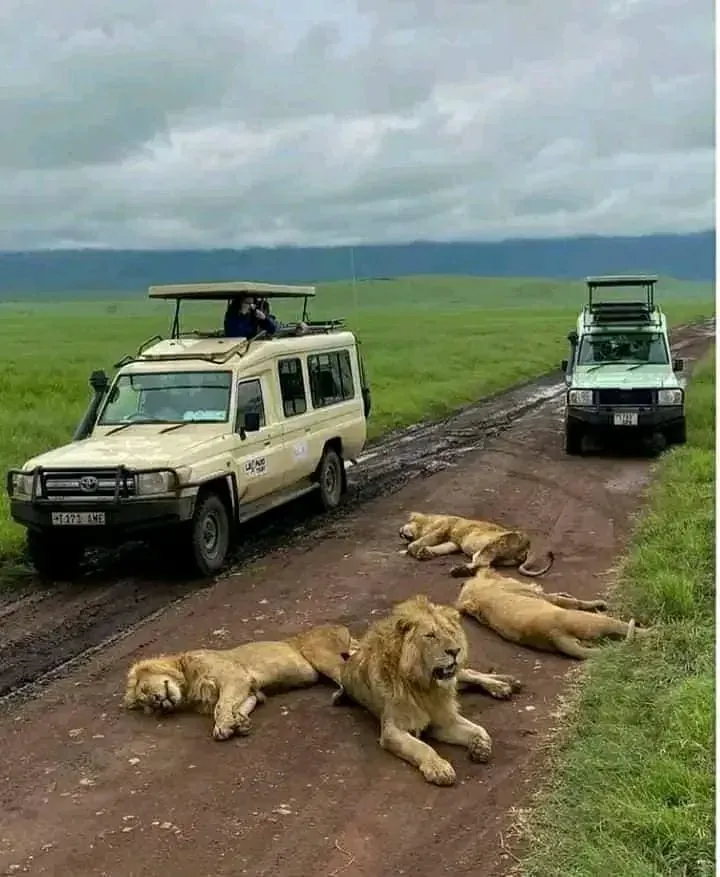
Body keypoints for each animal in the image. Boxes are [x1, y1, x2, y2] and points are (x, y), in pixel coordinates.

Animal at [123, 624, 359, 740]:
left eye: (145, 689)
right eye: (148, 705)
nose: (157, 702)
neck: (187, 685)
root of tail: (340, 627)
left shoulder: (234, 677)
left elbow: (221, 706)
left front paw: (223, 726)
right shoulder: (250, 690)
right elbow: (239, 705)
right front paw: (238, 723)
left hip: (318, 652)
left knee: (344, 672)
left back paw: (342, 696)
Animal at [331, 594, 523, 786]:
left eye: (450, 632)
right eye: (430, 636)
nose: (455, 650)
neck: (427, 687)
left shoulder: (443, 717)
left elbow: (478, 729)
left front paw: (480, 745)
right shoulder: (393, 729)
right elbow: (422, 747)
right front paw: (440, 769)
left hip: (458, 674)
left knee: (469, 673)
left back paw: (505, 684)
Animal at [399, 511, 554, 578]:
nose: (399, 533)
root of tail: (528, 547)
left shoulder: (444, 528)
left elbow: (424, 539)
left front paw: (414, 549)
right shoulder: (453, 542)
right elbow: (442, 548)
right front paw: (425, 553)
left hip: (495, 544)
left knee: (482, 564)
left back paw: (457, 571)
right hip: (496, 556)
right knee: (484, 565)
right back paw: (460, 570)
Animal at [455, 568, 652, 659]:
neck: (479, 595)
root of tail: (552, 635)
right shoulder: (541, 595)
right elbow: (571, 601)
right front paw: (599, 603)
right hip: (595, 621)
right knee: (627, 629)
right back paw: (653, 631)